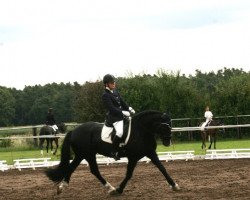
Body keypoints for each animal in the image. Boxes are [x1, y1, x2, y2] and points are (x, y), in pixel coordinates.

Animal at [45, 109, 180, 195]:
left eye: (170, 124)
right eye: (165, 125)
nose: (168, 142)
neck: (141, 131)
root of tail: (74, 131)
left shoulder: (151, 153)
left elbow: (162, 168)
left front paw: (174, 186)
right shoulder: (133, 157)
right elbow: (129, 174)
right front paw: (119, 190)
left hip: (82, 155)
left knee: (75, 168)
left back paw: (62, 187)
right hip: (86, 154)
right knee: (90, 170)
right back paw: (110, 188)